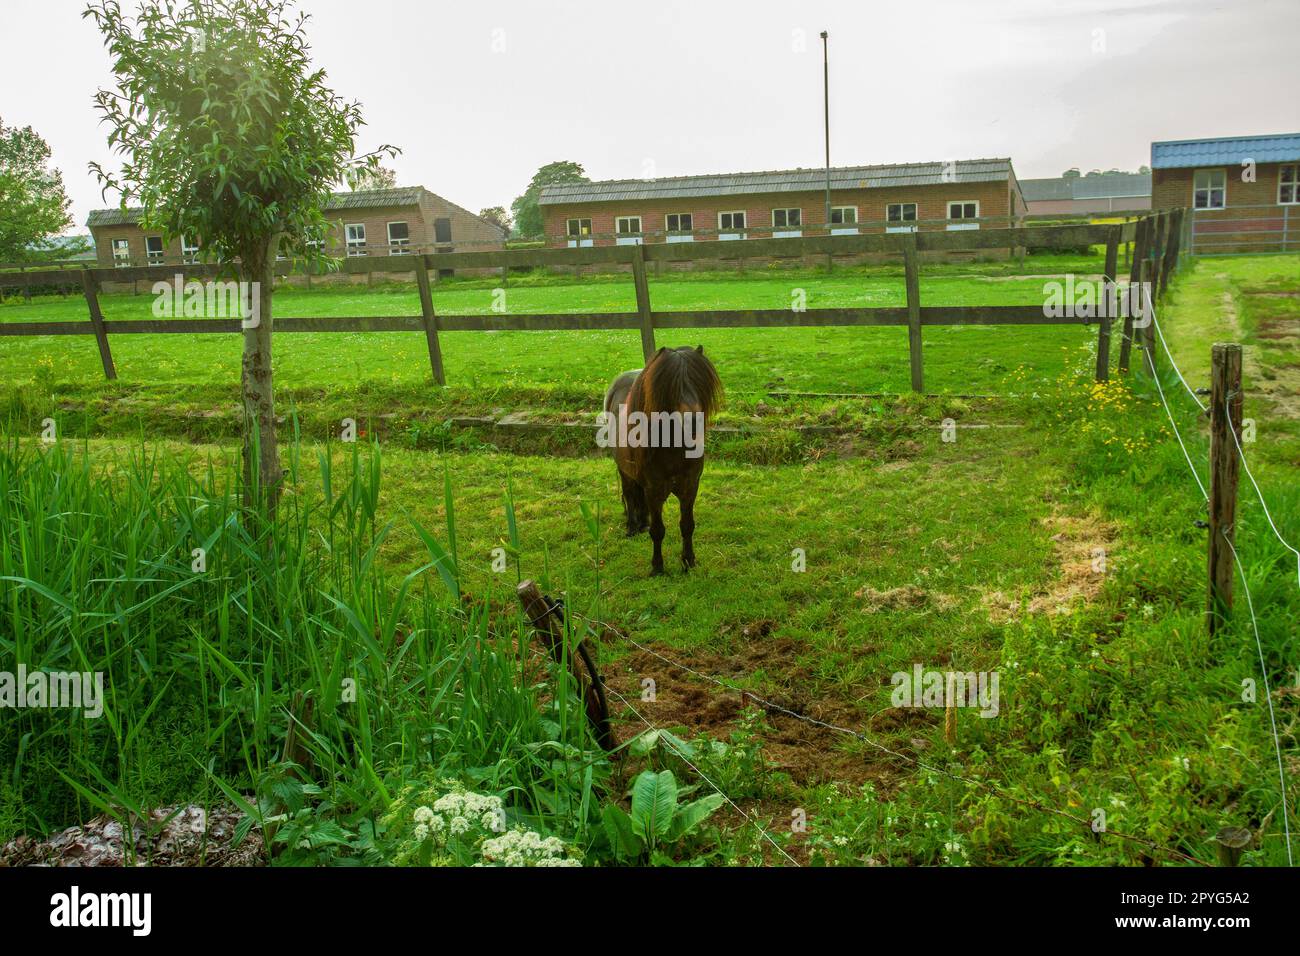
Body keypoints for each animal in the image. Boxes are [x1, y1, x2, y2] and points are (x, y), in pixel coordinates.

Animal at [603, 346, 723, 575]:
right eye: (671, 386)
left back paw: (642, 523)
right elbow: (658, 531)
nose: (693, 421)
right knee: (629, 495)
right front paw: (657, 567)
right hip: (624, 471)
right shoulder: (654, 490)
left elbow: (687, 525)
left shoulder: (690, 487)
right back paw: (632, 527)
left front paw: (688, 561)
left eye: (699, 381)